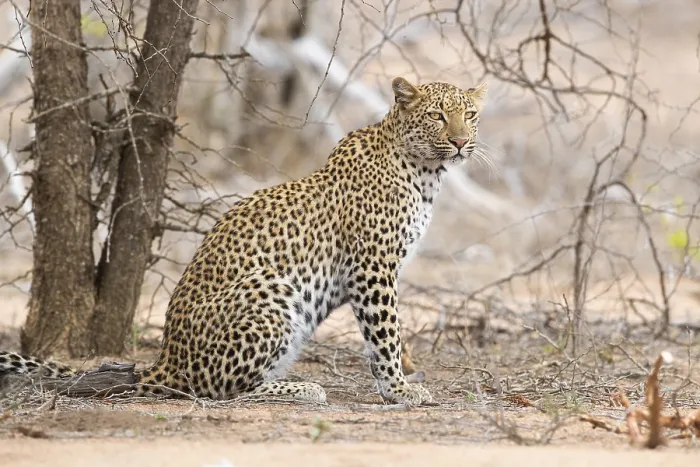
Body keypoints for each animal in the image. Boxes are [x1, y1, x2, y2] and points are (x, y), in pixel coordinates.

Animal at [0, 77, 487, 405]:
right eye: (437, 115)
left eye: (470, 114)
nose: (460, 141)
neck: (424, 172)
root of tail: (164, 359)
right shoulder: (373, 266)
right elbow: (385, 332)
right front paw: (399, 389)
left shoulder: (381, 269)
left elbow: (390, 334)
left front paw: (401, 381)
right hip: (271, 290)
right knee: (224, 390)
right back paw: (305, 388)